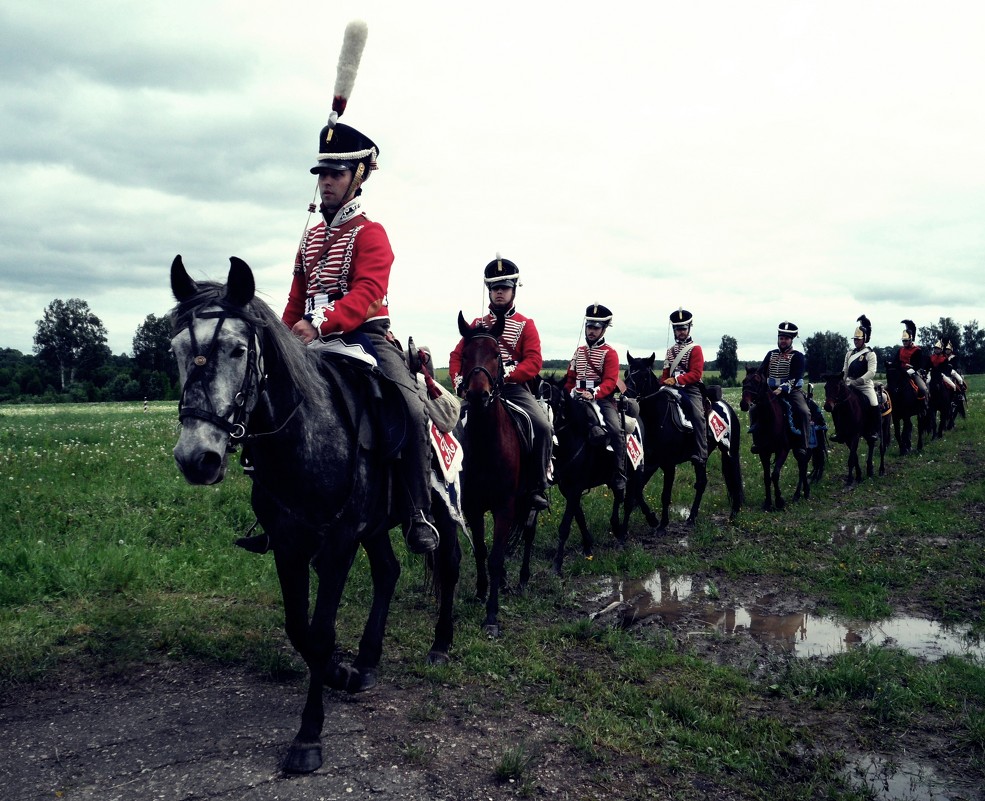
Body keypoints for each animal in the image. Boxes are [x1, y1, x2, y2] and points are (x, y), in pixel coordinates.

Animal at [540, 376, 640, 576]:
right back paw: (616, 527)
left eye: (557, 402)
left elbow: (565, 525)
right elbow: (579, 516)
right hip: (614, 478)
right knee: (618, 495)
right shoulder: (567, 488)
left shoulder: (576, 488)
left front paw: (557, 564)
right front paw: (588, 545)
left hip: (634, 474)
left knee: (628, 503)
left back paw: (622, 537)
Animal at [624, 352, 736, 532]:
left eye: (644, 375)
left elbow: (665, 495)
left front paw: (662, 524)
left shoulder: (669, 465)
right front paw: (652, 519)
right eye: (627, 374)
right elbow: (638, 491)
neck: (655, 418)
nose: (625, 401)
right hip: (702, 458)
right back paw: (693, 517)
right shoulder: (650, 464)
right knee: (702, 483)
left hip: (727, 451)